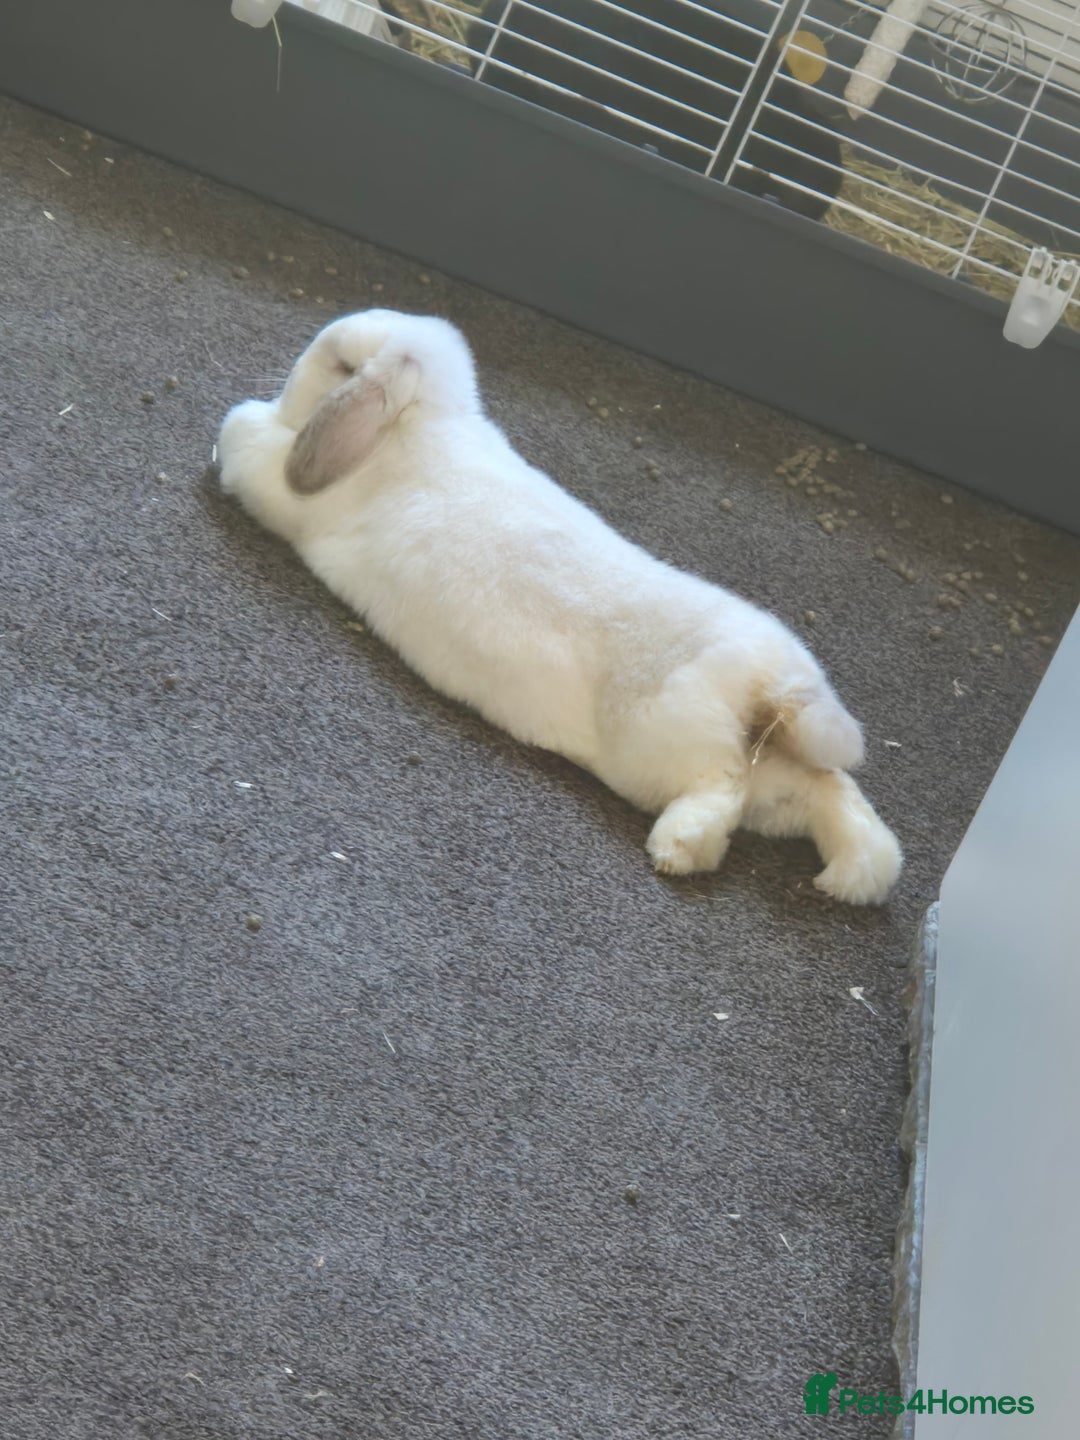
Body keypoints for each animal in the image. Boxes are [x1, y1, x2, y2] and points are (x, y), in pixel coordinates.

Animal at [217, 309, 901, 903]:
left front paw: (241, 420)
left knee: (721, 788)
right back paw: (855, 875)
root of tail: (772, 686)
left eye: (340, 364)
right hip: (774, 776)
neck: (413, 424)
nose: (291, 379)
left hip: (668, 743)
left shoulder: (280, 494)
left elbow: (240, 432)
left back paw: (678, 847)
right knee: (827, 791)